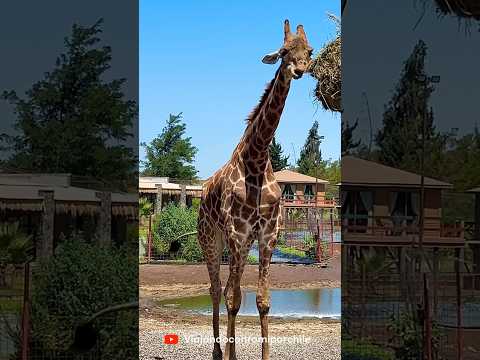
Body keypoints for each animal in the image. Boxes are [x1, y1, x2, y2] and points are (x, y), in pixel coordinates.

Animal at [197, 20, 314, 360]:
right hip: (211, 238)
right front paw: (229, 354)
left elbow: (262, 301)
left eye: (309, 51)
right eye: (284, 51)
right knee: (216, 289)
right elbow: (235, 300)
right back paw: (218, 352)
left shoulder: (267, 234)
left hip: (238, 242)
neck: (257, 158)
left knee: (226, 288)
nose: (299, 70)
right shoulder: (237, 233)